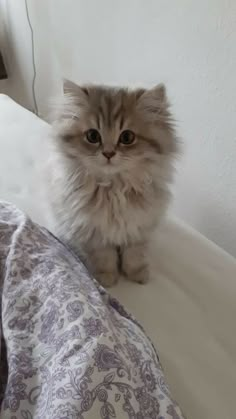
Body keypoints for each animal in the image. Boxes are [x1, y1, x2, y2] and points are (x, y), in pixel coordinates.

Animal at [46, 80, 178, 288]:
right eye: (93, 136)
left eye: (127, 137)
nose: (108, 153)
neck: (114, 189)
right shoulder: (95, 232)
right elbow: (105, 258)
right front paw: (107, 278)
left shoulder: (139, 228)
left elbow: (134, 255)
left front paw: (137, 274)